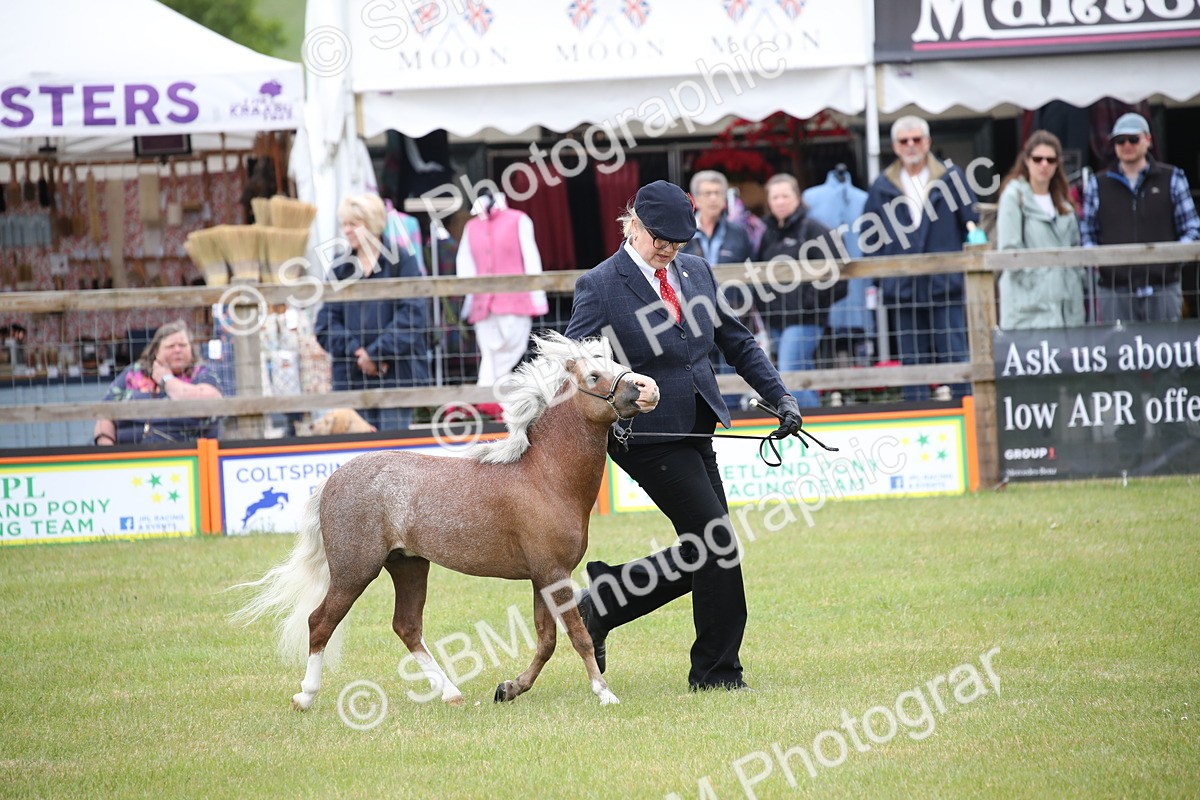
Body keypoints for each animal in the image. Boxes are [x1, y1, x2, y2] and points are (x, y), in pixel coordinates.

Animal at [232, 332, 660, 709]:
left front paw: (509, 688)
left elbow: (546, 640)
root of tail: (333, 479)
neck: (545, 475)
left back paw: (451, 693)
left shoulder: (543, 576)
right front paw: (604, 694)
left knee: (406, 626)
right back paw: (305, 696)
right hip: (354, 570)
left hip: (408, 566)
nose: (649, 388)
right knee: (320, 622)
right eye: (594, 375)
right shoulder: (553, 573)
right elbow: (578, 636)